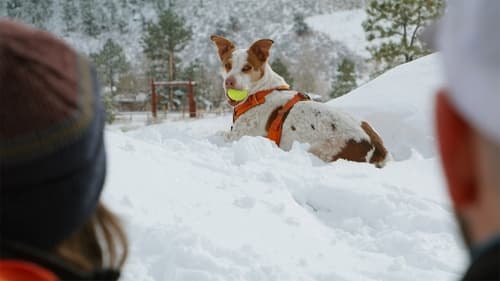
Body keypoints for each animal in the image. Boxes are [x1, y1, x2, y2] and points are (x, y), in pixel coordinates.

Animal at [209, 35, 388, 166]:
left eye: (246, 68)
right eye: (227, 65)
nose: (229, 82)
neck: (260, 92)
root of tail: (377, 145)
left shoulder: (239, 136)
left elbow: (218, 134)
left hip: (320, 150)